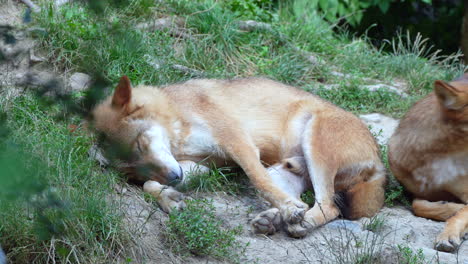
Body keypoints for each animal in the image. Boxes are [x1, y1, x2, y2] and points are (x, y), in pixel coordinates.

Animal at [91, 75, 384, 236]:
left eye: (141, 144)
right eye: (134, 171)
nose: (173, 178)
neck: (178, 116)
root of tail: (380, 162)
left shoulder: (239, 144)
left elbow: (258, 180)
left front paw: (291, 210)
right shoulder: (203, 164)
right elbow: (150, 185)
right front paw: (169, 198)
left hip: (315, 145)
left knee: (329, 206)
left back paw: (298, 220)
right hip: (286, 168)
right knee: (304, 198)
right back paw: (272, 219)